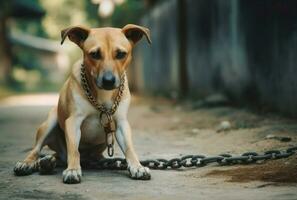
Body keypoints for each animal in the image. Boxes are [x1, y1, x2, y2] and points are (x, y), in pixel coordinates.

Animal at [14, 24, 151, 184]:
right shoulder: (73, 121)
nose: (108, 80)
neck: (101, 95)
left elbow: (129, 148)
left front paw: (137, 166)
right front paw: (73, 169)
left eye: (121, 54)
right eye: (95, 54)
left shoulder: (121, 123)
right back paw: (29, 163)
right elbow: (74, 150)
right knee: (37, 150)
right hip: (49, 123)